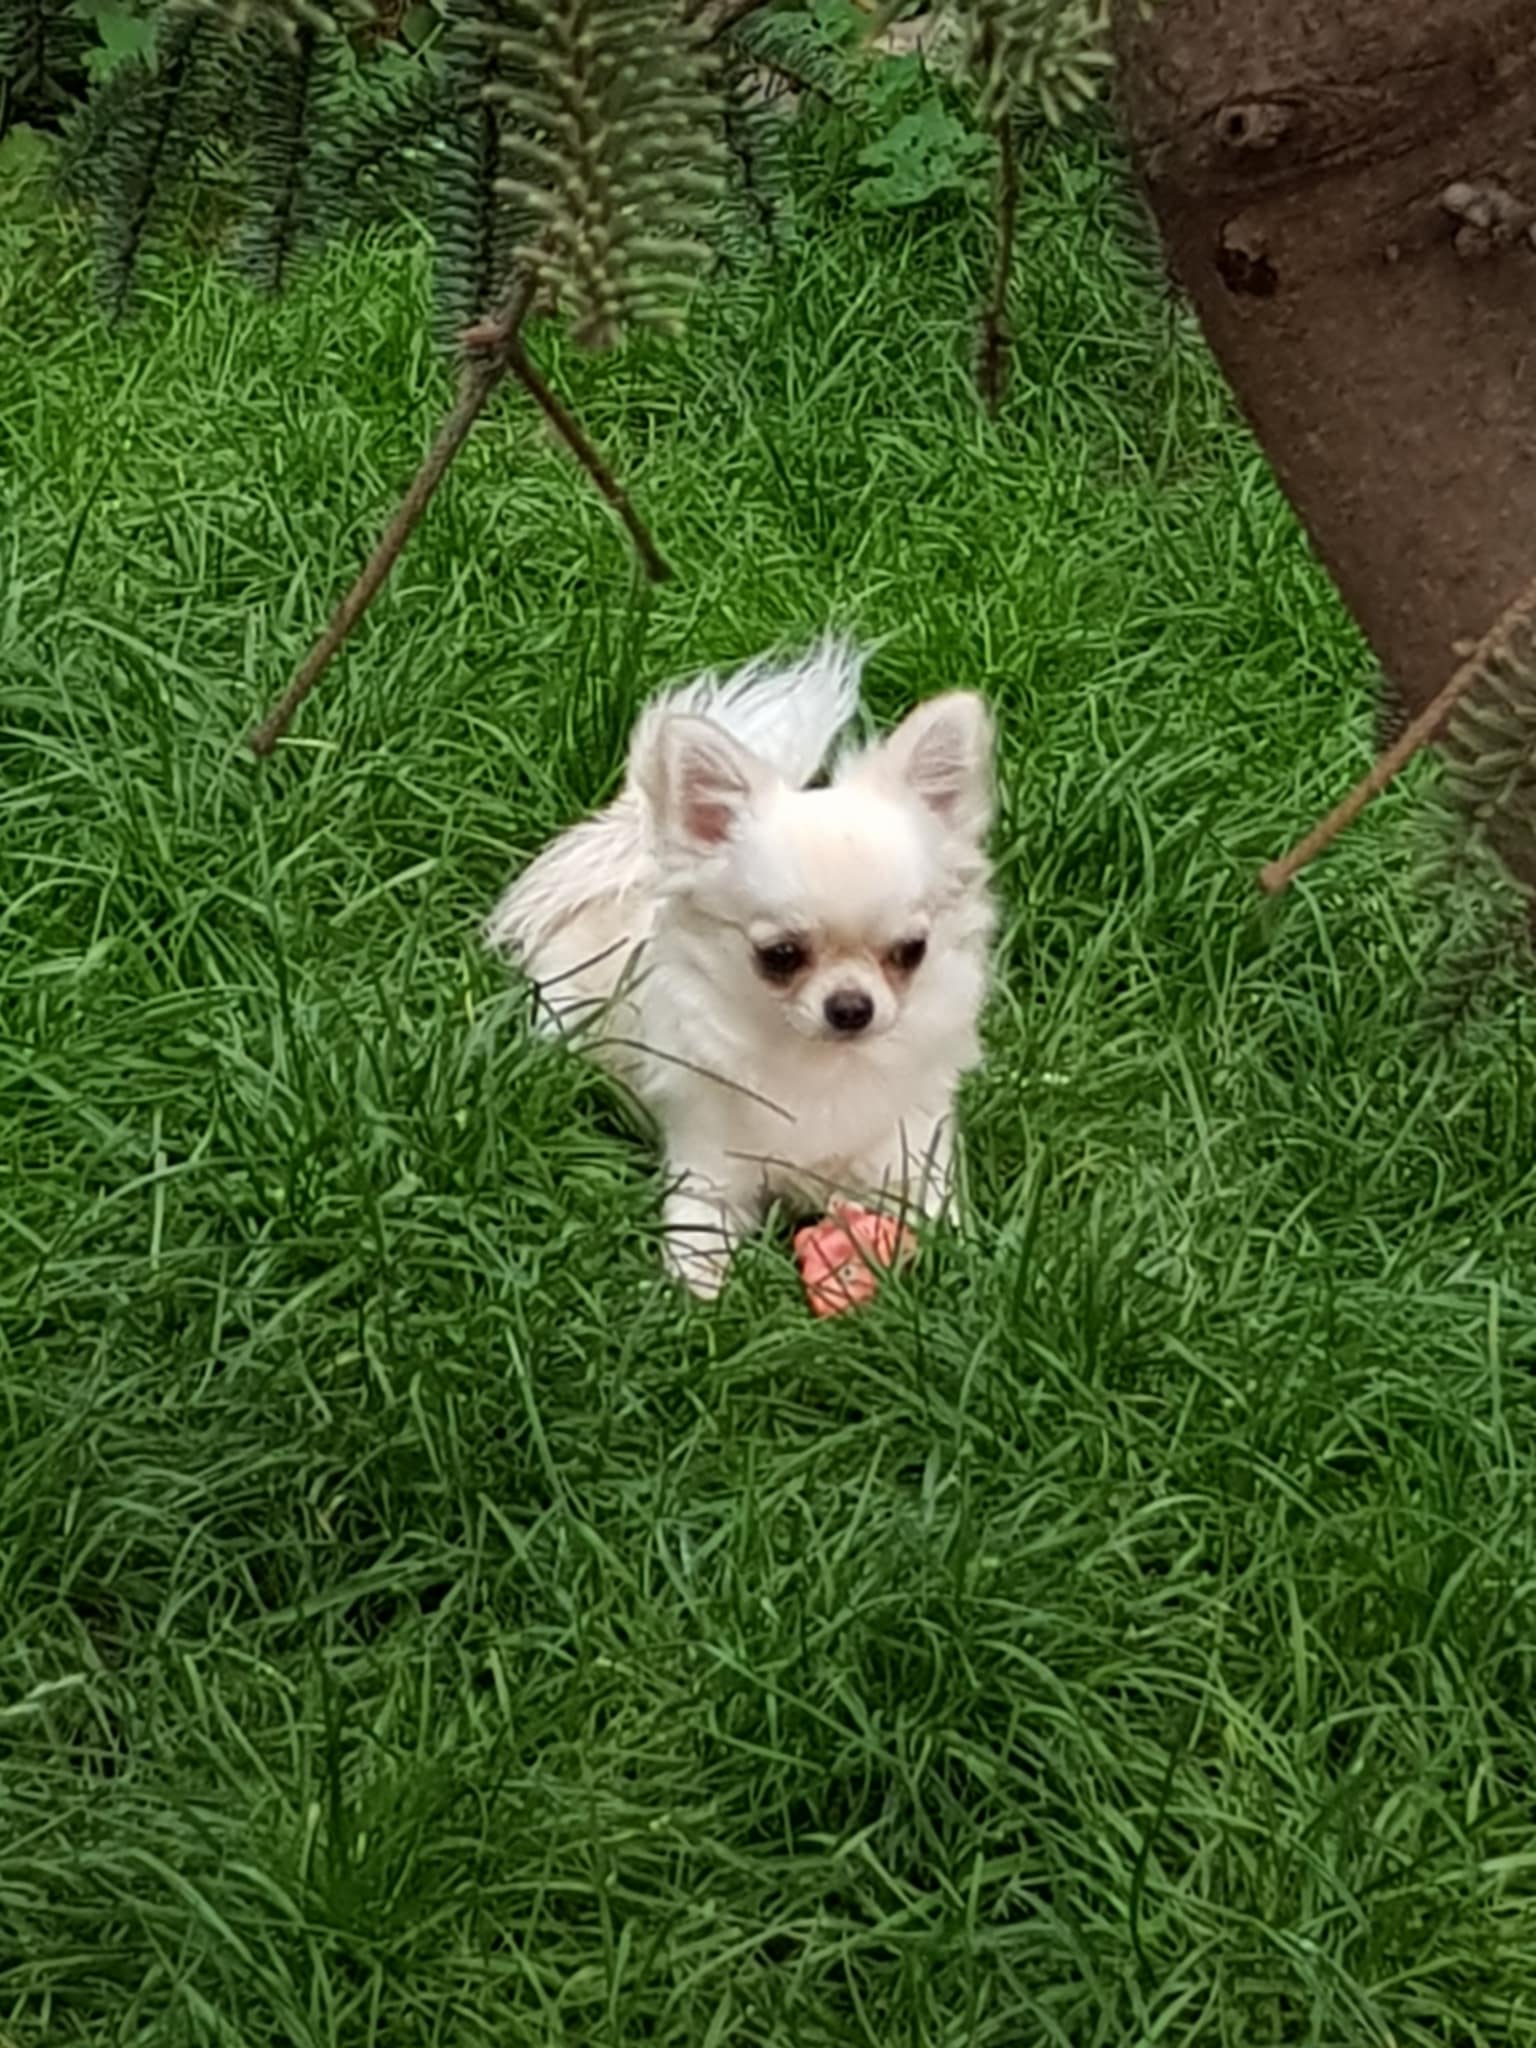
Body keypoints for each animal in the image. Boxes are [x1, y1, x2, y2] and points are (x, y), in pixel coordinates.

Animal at [485, 638, 996, 1296]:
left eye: (911, 951)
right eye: (780, 956)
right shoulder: (709, 1171)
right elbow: (696, 1241)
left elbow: (943, 1226)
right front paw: (694, 1301)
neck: (820, 1065)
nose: (851, 1008)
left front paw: (958, 1280)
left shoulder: (912, 1156)